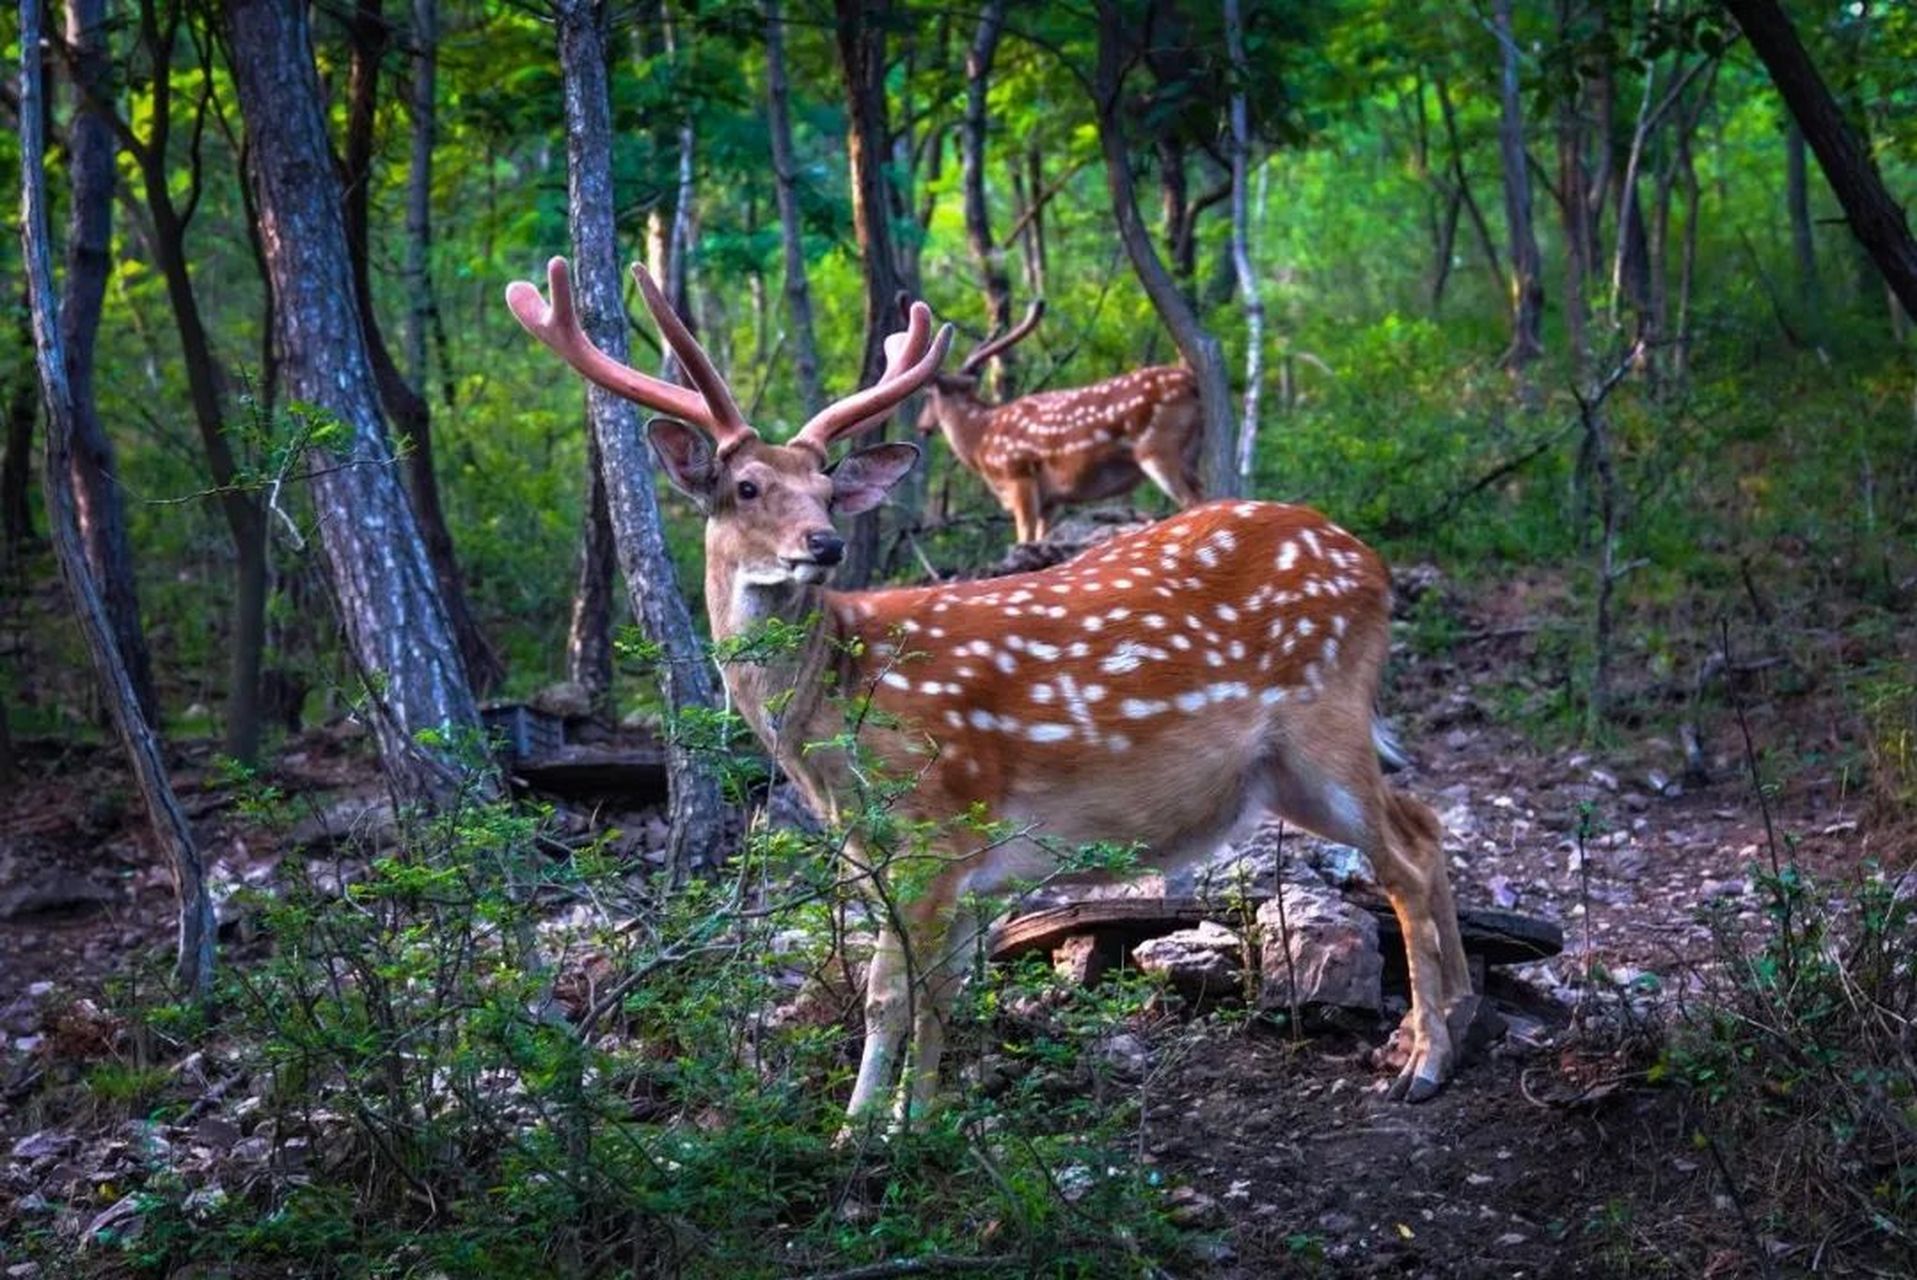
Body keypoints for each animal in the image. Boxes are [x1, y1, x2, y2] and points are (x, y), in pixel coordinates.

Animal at [916, 300, 1205, 544]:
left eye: (928, 395)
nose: (922, 426)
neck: (980, 440)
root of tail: (1191, 382)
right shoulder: (1051, 499)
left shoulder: (1018, 474)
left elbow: (1024, 539)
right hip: (1189, 453)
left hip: (1157, 448)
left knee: (1191, 502)